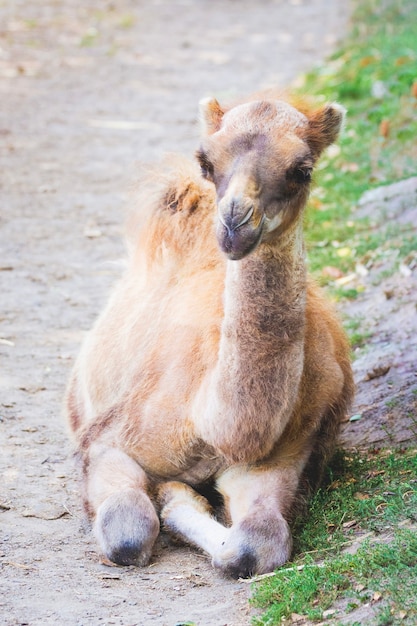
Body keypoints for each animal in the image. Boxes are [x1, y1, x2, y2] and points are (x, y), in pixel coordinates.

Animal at [66, 91, 352, 576]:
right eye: (206, 160)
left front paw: (178, 498)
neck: (216, 427)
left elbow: (256, 545)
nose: (236, 223)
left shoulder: (286, 454)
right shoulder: (108, 440)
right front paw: (168, 496)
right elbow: (128, 532)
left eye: (302, 168)